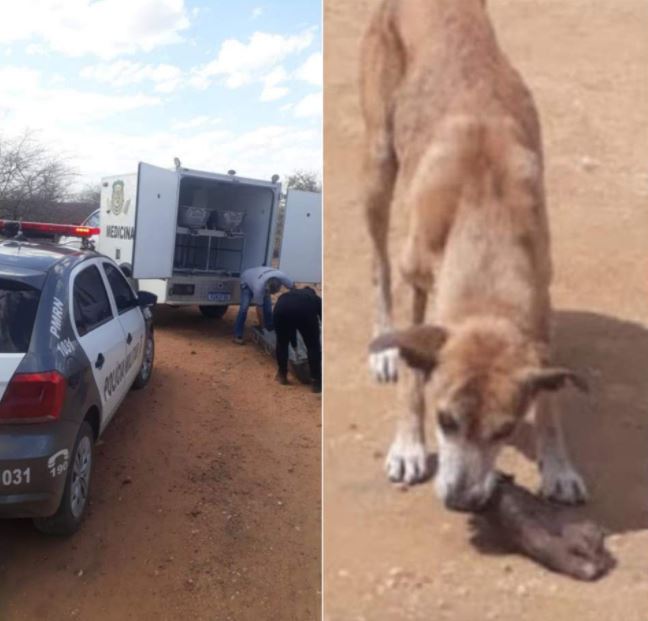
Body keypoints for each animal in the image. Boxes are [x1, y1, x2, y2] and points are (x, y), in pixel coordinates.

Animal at [362, 0, 588, 508]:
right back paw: (383, 344)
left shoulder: (540, 299)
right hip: (378, 164)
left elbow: (551, 393)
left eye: (504, 431)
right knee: (378, 266)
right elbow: (413, 375)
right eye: (444, 421)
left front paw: (558, 465)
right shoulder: (416, 278)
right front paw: (408, 446)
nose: (462, 500)